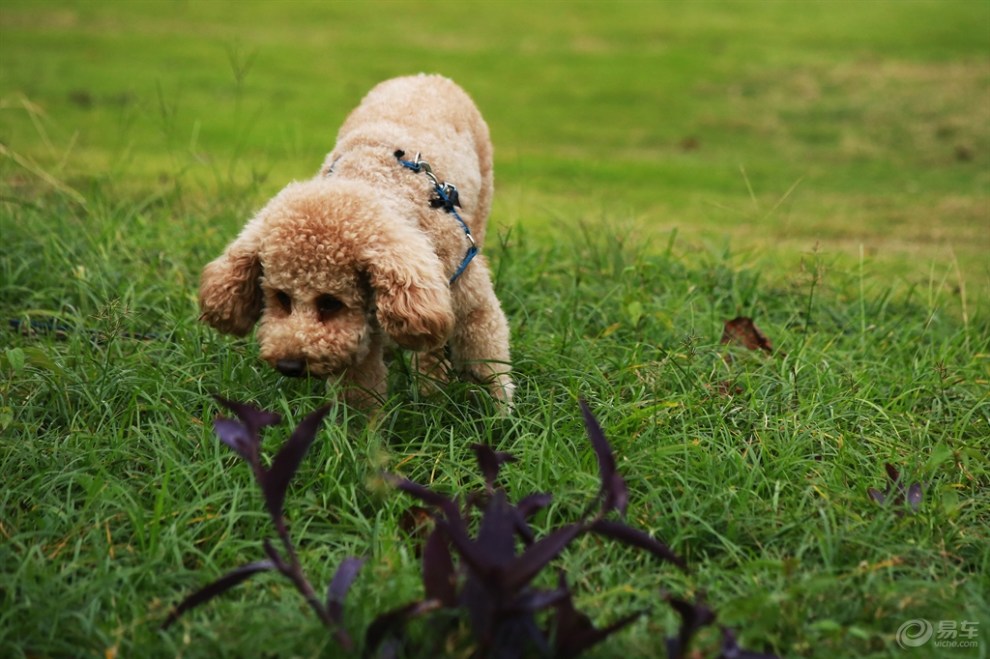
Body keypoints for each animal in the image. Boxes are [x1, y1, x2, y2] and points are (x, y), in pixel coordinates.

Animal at [199, 75, 516, 410]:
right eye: (281, 298)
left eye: (329, 302)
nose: (290, 366)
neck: (373, 177)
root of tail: (425, 76)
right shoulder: (358, 333)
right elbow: (359, 396)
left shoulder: (468, 297)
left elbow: (487, 361)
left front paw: (500, 415)